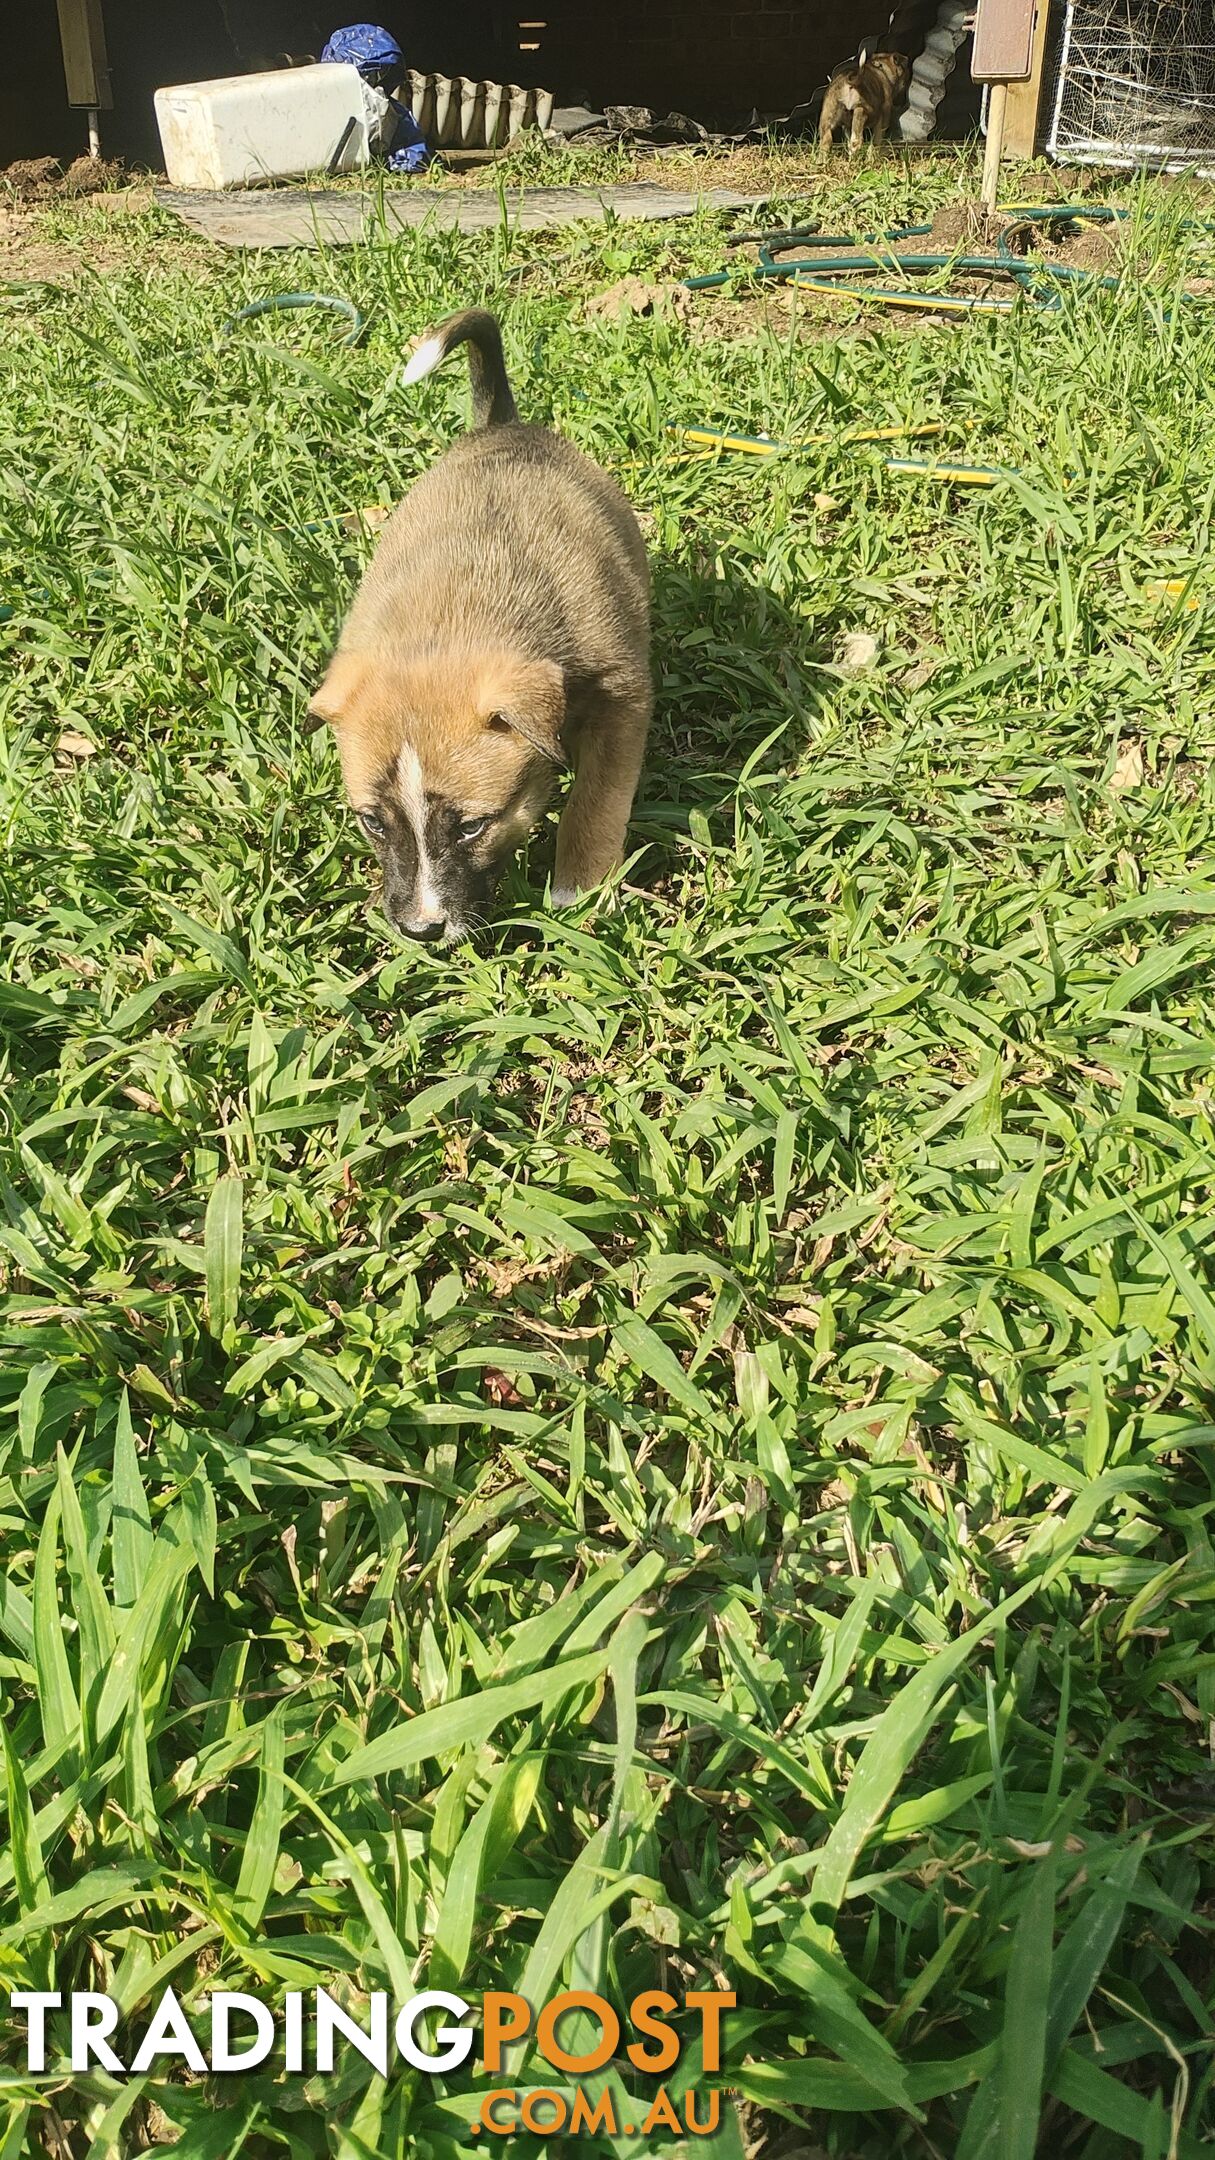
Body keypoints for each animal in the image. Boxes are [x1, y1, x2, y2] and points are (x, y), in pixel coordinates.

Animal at [306, 308, 648, 941]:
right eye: (373, 823)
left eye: (471, 826)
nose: (420, 931)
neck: (451, 620)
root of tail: (503, 425)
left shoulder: (623, 698)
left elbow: (597, 797)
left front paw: (580, 890)